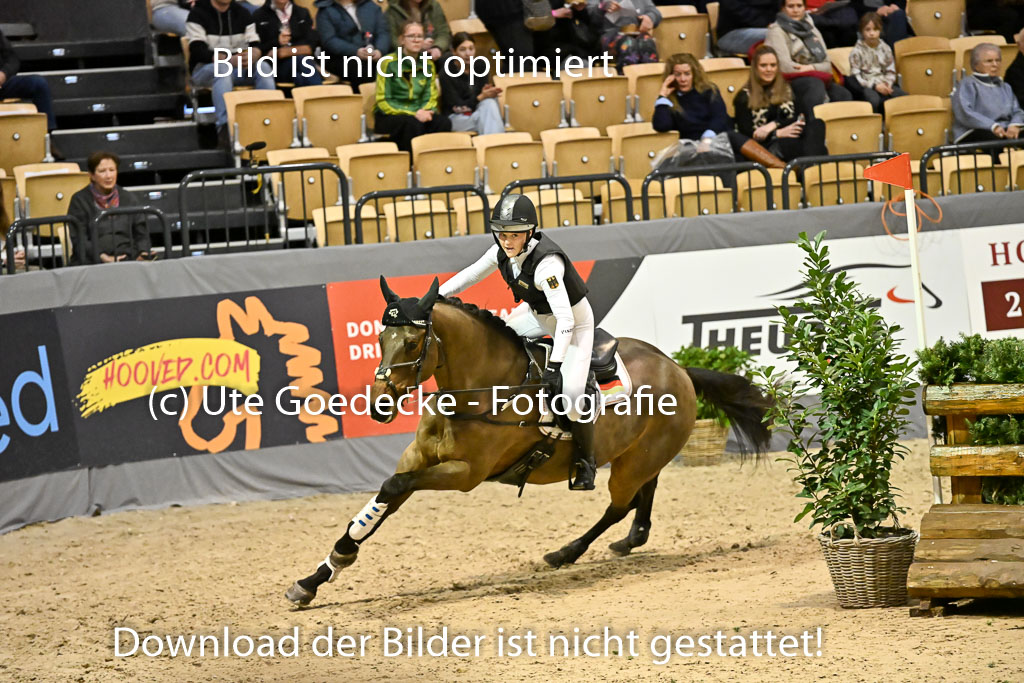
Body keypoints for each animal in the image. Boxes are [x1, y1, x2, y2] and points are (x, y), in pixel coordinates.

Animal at [285, 276, 772, 606]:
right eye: (379, 337)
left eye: (412, 340)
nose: (379, 405)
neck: (481, 386)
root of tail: (679, 368)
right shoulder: (418, 457)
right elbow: (380, 503)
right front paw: (317, 577)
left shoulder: (465, 474)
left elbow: (393, 488)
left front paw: (335, 562)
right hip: (639, 455)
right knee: (644, 493)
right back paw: (631, 540)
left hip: (633, 462)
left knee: (619, 504)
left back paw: (567, 552)